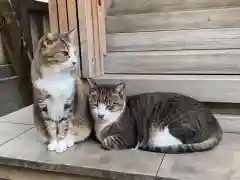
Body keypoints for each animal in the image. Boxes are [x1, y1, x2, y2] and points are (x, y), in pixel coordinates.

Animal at [88, 81, 223, 153]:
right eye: (95, 104)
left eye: (109, 105)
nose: (101, 115)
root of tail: (216, 123)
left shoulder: (127, 137)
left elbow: (106, 141)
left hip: (178, 122)